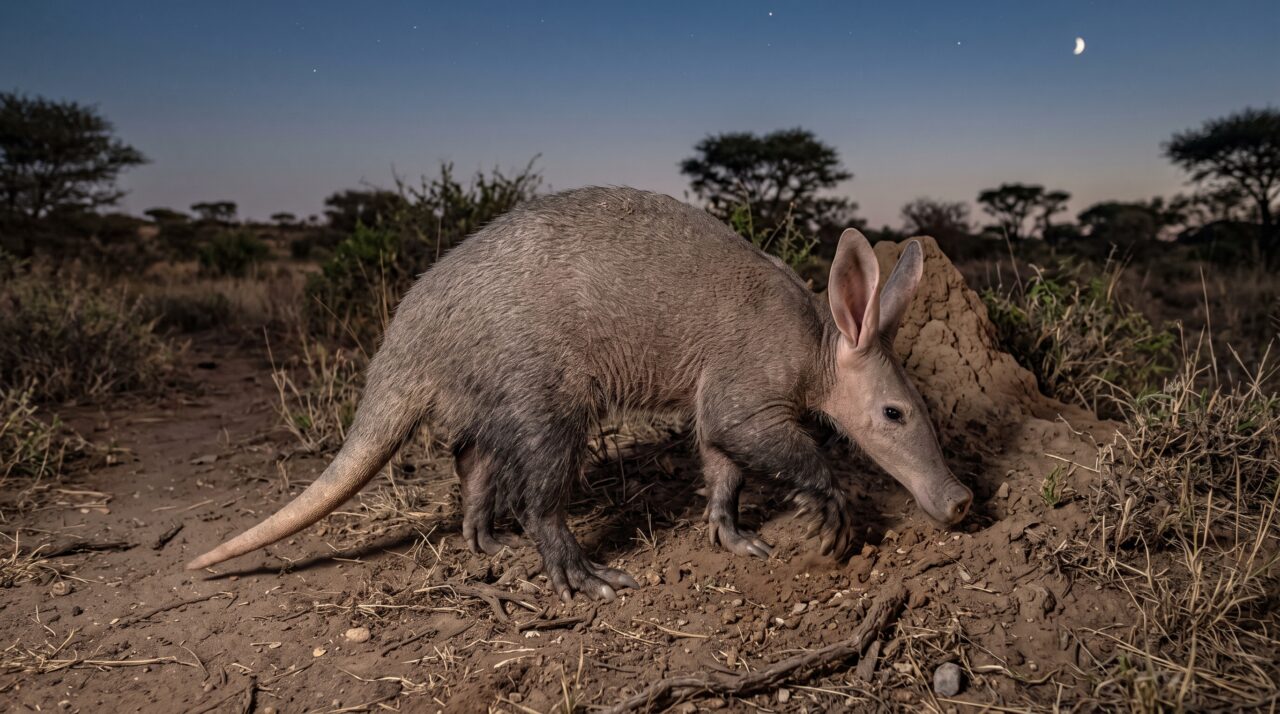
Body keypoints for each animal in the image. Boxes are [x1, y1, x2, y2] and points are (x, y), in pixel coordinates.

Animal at [187, 187, 972, 601]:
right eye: (894, 413)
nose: (961, 502)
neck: (816, 344)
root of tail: (411, 337)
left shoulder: (717, 399)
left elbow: (721, 463)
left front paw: (734, 533)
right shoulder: (747, 383)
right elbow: (754, 437)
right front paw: (828, 510)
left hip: (490, 387)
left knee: (473, 455)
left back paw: (485, 537)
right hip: (541, 384)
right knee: (541, 485)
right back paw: (579, 573)